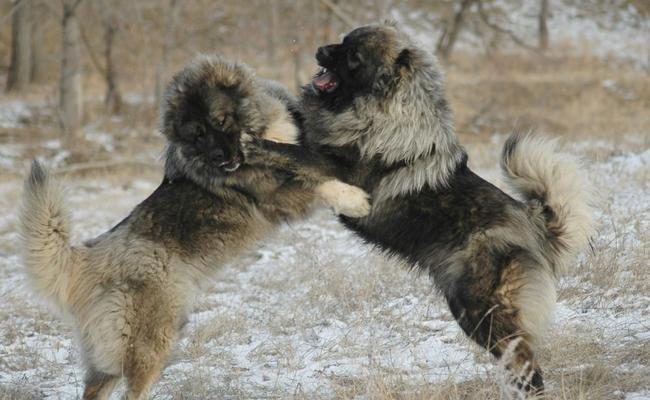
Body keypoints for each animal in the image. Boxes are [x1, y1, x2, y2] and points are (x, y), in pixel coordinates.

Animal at [19, 55, 370, 400]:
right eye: (197, 134)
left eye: (220, 121)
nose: (219, 157)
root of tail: (88, 259)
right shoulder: (275, 195)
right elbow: (317, 183)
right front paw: (354, 200)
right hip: (153, 339)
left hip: (110, 355)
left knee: (94, 388)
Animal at [296, 22, 596, 394]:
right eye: (343, 40)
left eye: (353, 57)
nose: (319, 50)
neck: (385, 114)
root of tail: (531, 222)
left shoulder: (340, 169)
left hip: (480, 310)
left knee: (528, 366)